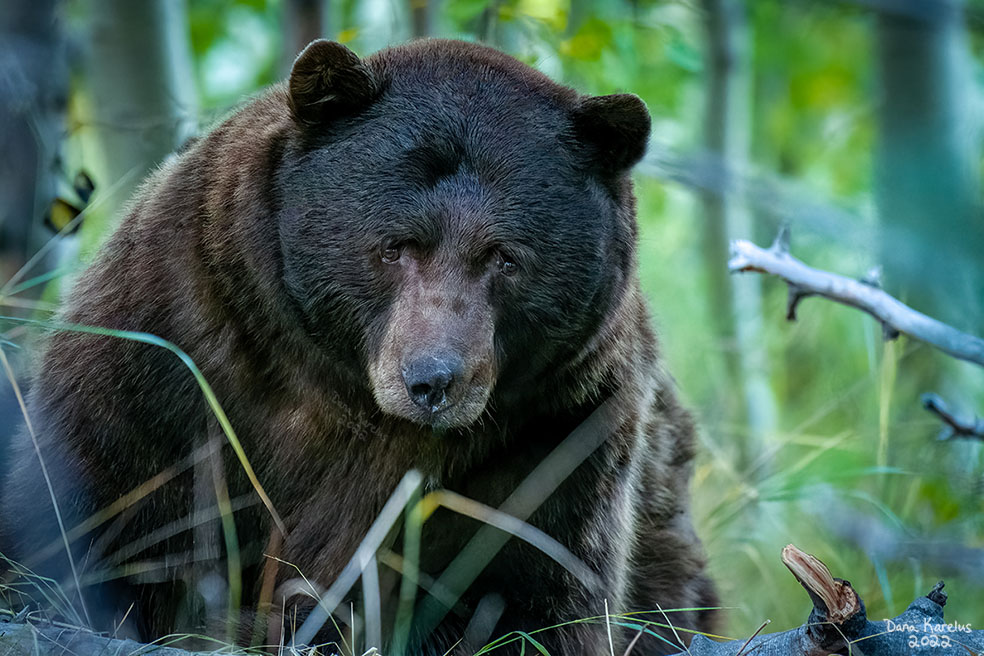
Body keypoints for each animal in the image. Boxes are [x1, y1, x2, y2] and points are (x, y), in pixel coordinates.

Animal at [1, 39, 717, 655]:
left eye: (506, 257)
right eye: (396, 244)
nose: (434, 379)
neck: (346, 396)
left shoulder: (554, 433)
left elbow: (522, 591)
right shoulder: (171, 354)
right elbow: (95, 517)